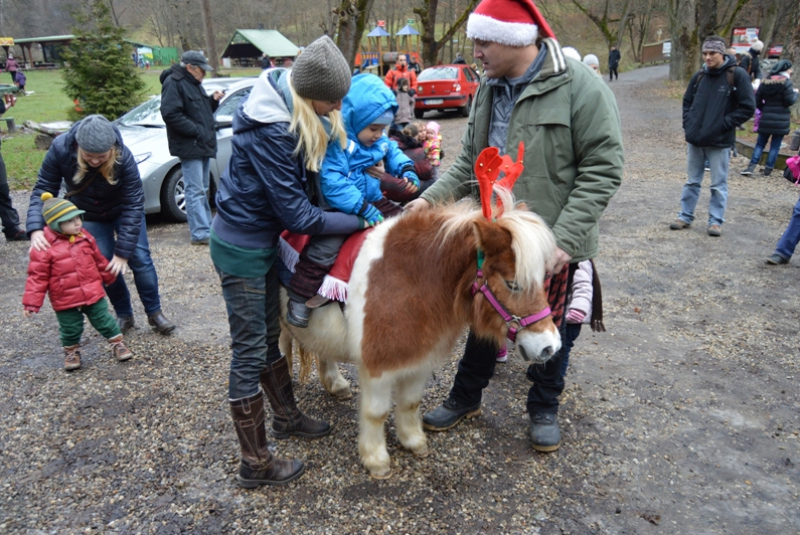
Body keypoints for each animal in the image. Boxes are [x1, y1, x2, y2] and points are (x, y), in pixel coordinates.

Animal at [282, 189, 564, 482]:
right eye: (513, 284)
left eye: (543, 278)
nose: (550, 346)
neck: (412, 280)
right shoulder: (377, 367)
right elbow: (376, 412)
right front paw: (376, 459)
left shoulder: (419, 361)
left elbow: (410, 403)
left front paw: (413, 441)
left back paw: (335, 384)